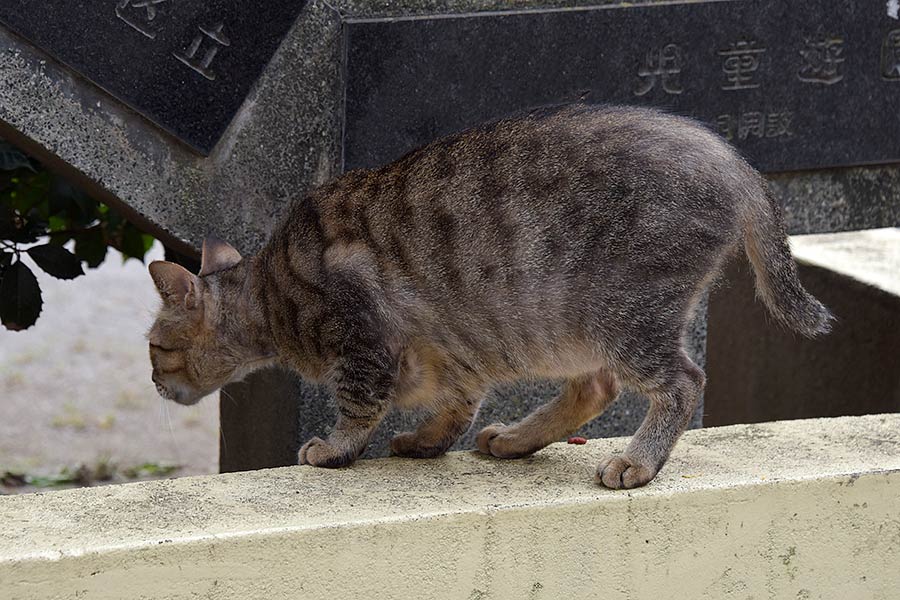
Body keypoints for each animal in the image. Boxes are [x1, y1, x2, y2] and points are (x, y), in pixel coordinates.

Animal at [146, 103, 828, 488]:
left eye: (153, 348)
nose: (153, 382)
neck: (269, 293)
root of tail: (731, 159)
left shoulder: (364, 342)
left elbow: (359, 408)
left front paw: (335, 448)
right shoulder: (455, 356)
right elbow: (455, 408)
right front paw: (425, 441)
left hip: (623, 313)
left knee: (682, 381)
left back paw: (638, 461)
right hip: (569, 327)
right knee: (595, 387)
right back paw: (519, 439)